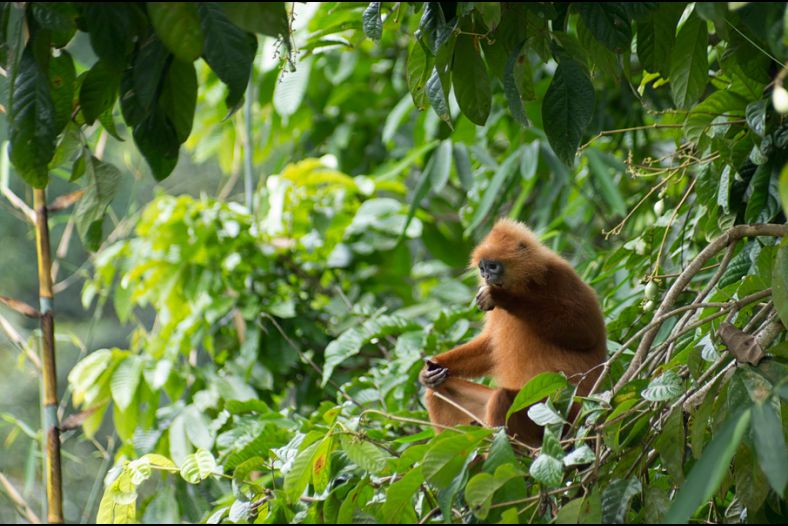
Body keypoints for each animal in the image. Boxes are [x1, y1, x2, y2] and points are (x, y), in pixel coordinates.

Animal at [418, 219, 607, 444]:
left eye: (493, 266)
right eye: (482, 268)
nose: (486, 275)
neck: (526, 283)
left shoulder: (560, 275)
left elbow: (586, 334)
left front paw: (502, 297)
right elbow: (488, 348)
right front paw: (430, 369)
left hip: (558, 410)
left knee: (502, 398)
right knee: (436, 392)